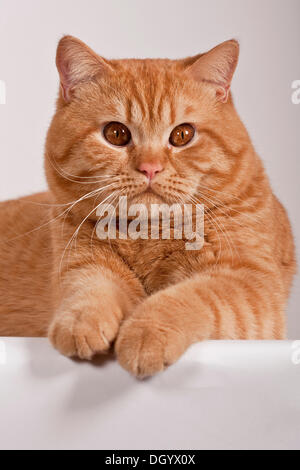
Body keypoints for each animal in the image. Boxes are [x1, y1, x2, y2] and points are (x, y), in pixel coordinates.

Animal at [0, 36, 296, 376]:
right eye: (116, 133)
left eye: (182, 135)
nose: (150, 168)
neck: (149, 234)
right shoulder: (82, 264)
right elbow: (89, 290)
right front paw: (80, 323)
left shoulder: (248, 283)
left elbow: (187, 297)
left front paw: (145, 334)